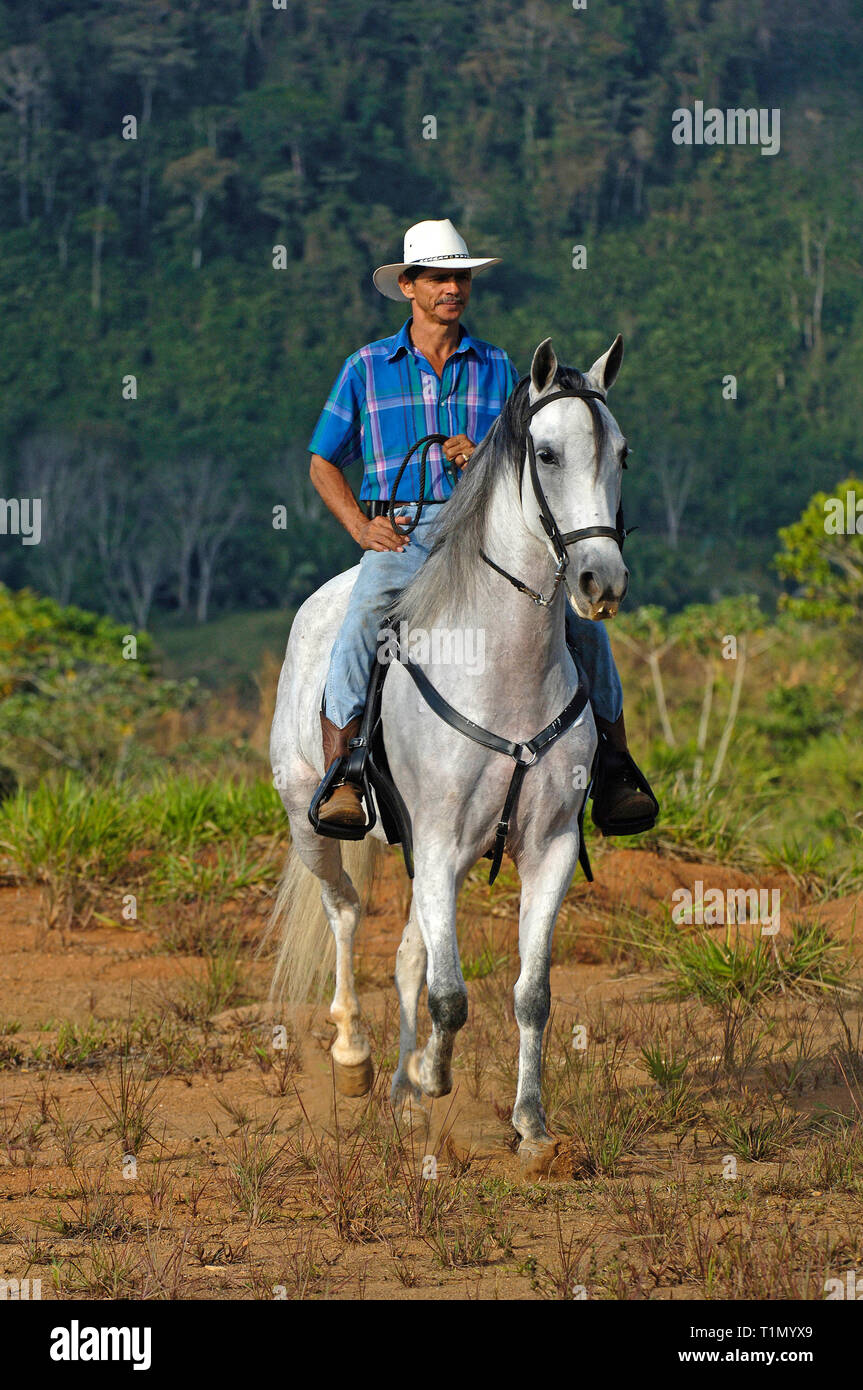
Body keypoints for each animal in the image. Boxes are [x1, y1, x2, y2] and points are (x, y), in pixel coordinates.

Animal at [265, 336, 628, 1173]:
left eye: (621, 452)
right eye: (547, 453)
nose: (600, 581)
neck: (504, 671)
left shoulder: (548, 847)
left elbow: (528, 993)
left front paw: (531, 1128)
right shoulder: (432, 843)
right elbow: (451, 994)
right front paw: (433, 1074)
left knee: (406, 954)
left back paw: (400, 1090)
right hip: (313, 826)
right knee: (344, 913)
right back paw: (357, 1059)